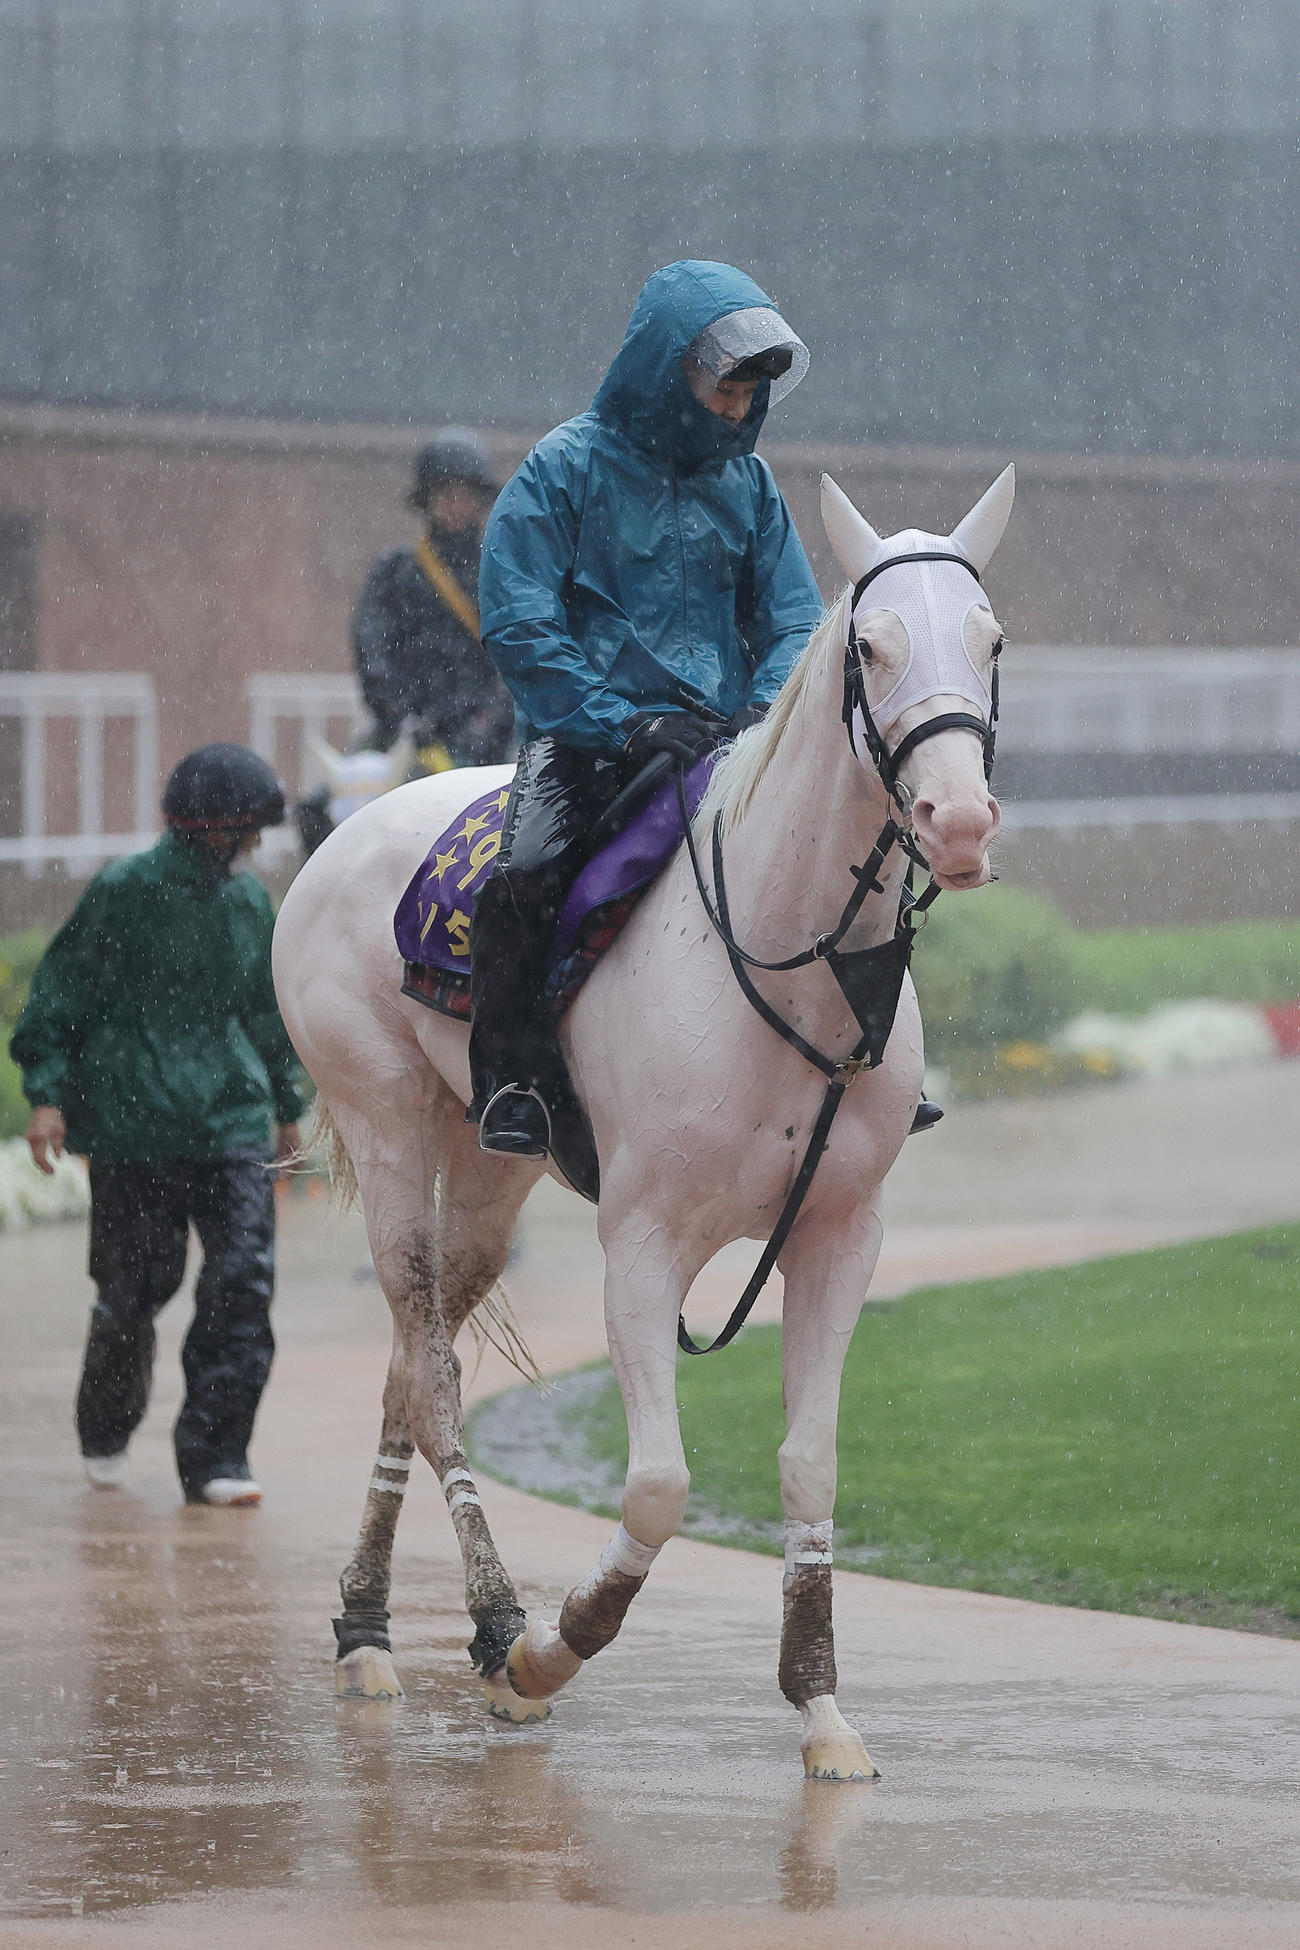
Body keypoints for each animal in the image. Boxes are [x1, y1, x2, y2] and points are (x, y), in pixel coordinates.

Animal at [271, 466, 1013, 1781]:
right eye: (870, 647)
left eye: (990, 642)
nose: (958, 821)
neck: (784, 957)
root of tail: (351, 833)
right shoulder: (644, 1246)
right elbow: (660, 1487)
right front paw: (546, 1654)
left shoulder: (840, 1236)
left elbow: (809, 1463)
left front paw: (821, 1710)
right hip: (388, 1121)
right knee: (432, 1370)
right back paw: (486, 1622)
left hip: (488, 1165)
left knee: (411, 1363)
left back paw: (371, 1623)